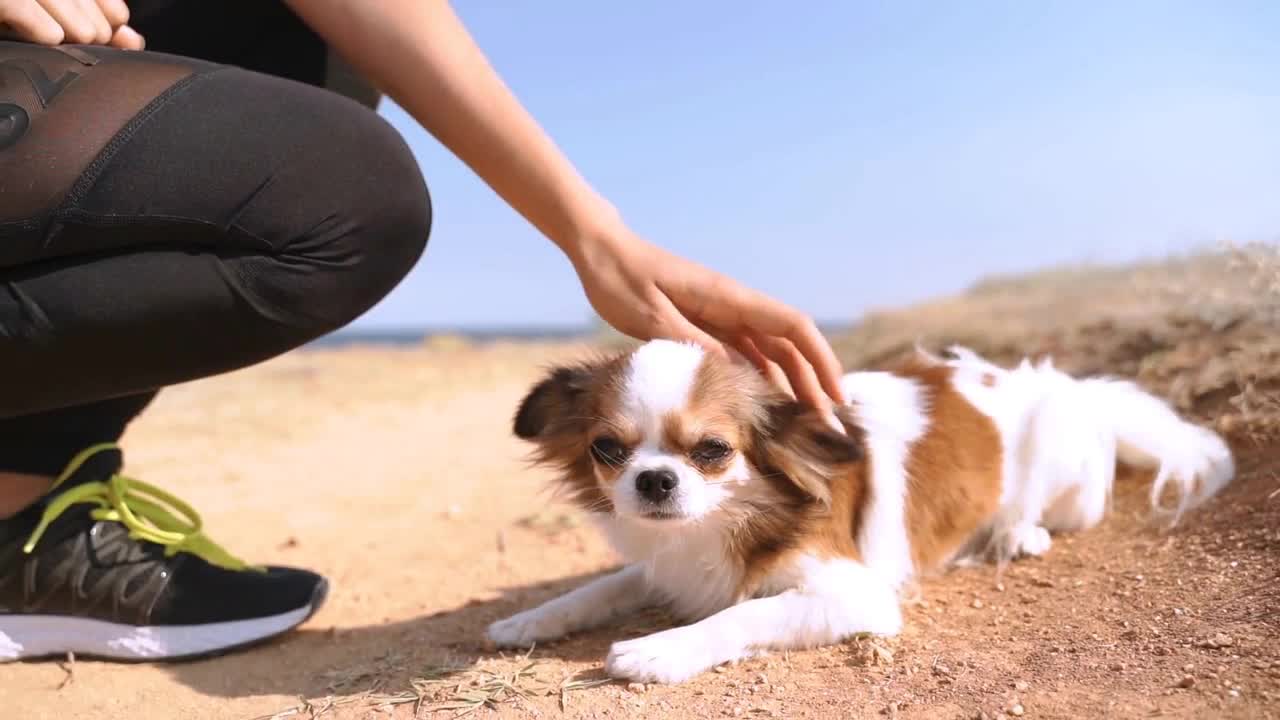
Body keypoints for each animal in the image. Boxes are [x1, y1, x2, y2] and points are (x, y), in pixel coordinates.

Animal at [483, 338, 1233, 681]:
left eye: (713, 451)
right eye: (608, 449)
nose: (655, 481)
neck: (730, 521)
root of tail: (1077, 389)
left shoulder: (855, 593)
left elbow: (744, 613)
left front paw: (659, 648)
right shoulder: (669, 563)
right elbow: (599, 588)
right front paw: (529, 619)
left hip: (1060, 462)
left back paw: (1018, 534)